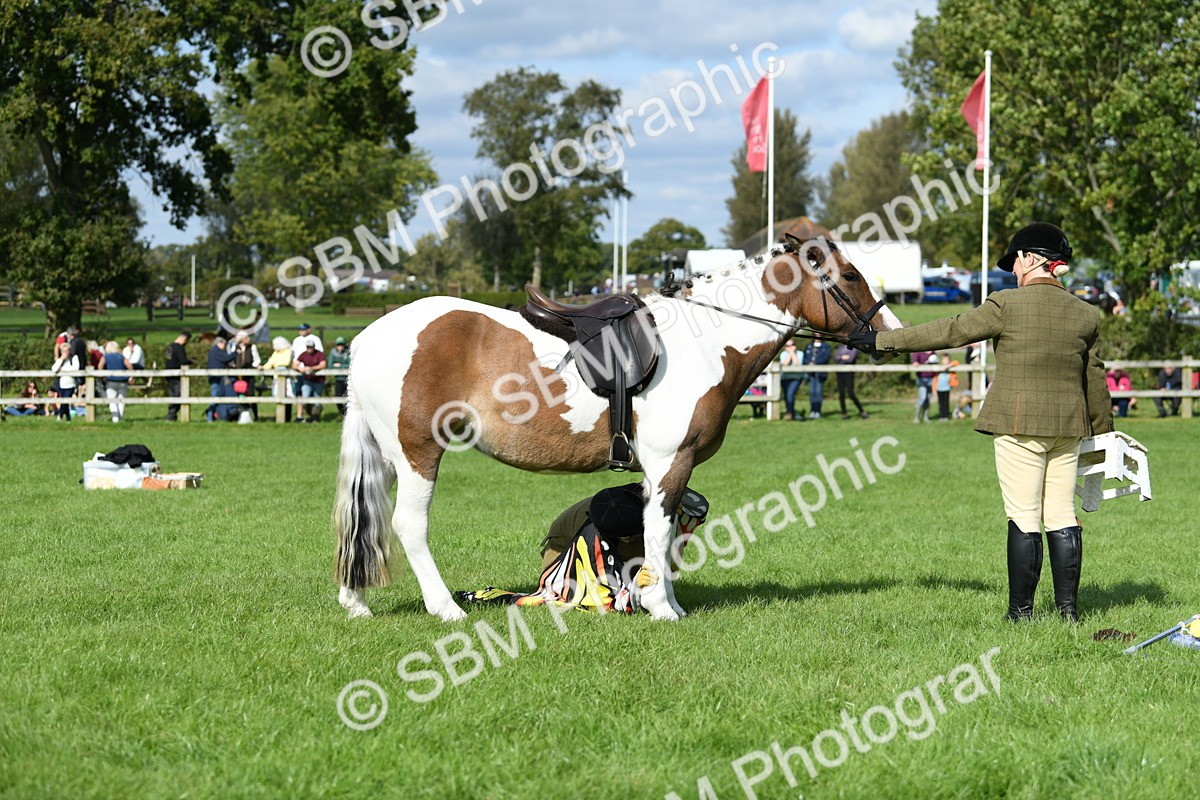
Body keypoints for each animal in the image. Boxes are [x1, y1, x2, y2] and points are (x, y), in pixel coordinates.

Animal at [333, 236, 903, 621]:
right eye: (851, 276)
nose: (889, 332)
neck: (704, 340)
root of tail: (369, 336)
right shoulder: (672, 460)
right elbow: (659, 531)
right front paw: (662, 608)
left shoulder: (655, 469)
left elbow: (658, 534)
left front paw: (660, 599)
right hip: (417, 453)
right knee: (408, 524)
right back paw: (445, 608)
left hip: (386, 457)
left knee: (366, 519)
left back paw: (354, 601)